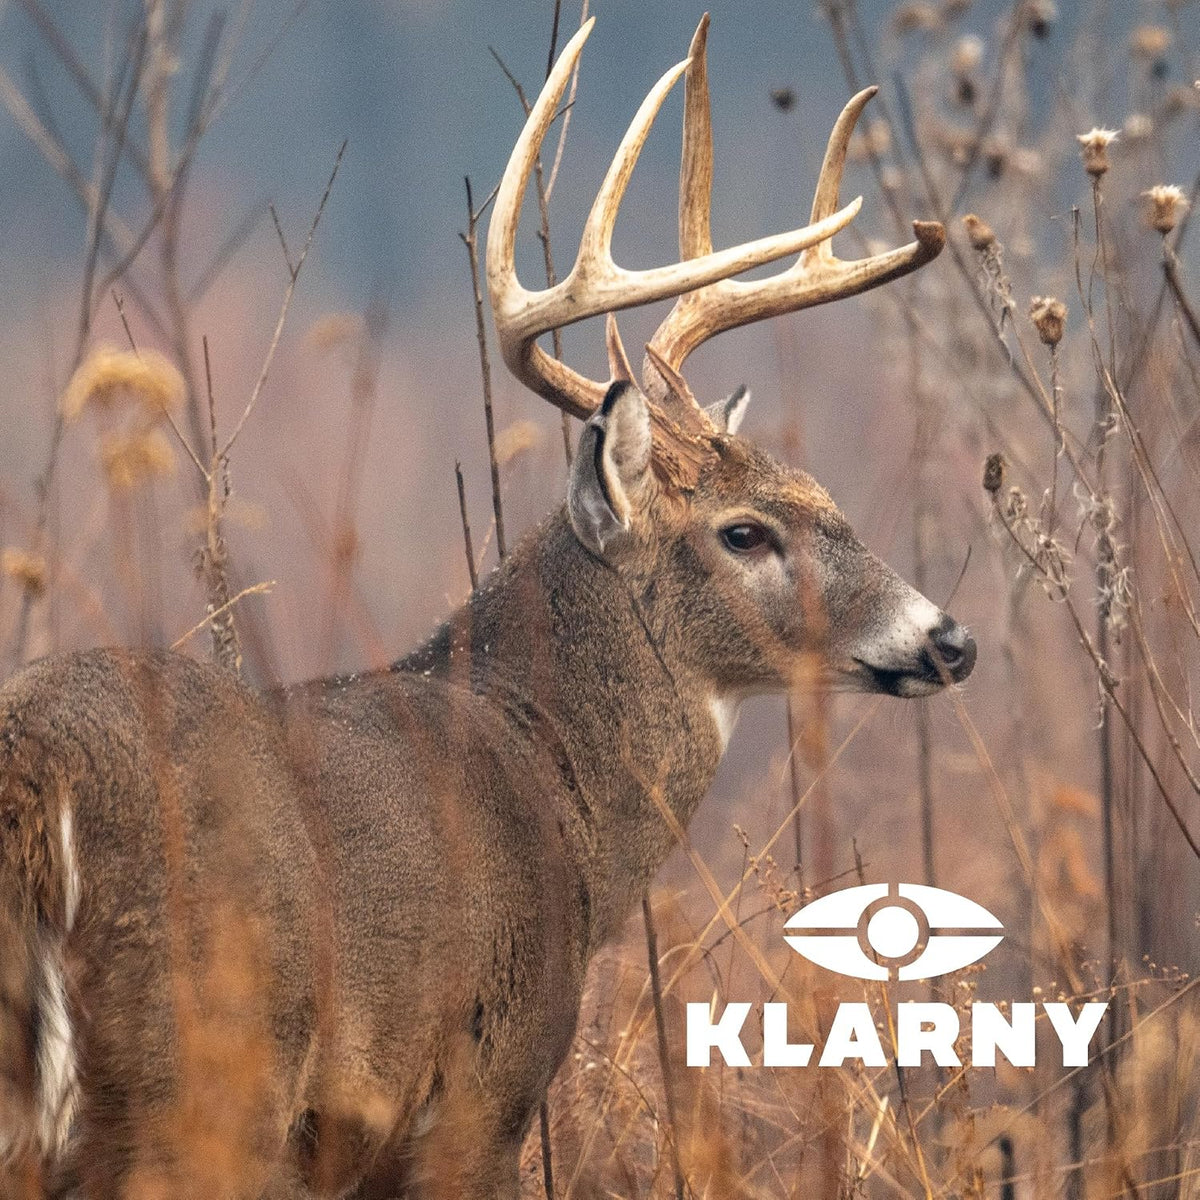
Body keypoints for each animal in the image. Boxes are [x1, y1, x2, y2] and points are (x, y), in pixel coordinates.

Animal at [0, 14, 974, 1199]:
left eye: (823, 491)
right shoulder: (485, 1091)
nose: (949, 638)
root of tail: (38, 772)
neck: (549, 776)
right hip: (191, 1078)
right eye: (745, 531)